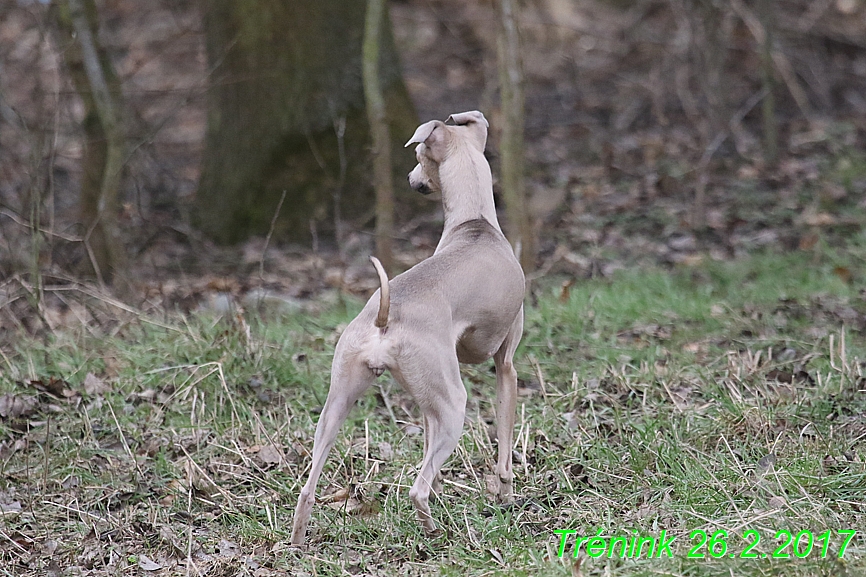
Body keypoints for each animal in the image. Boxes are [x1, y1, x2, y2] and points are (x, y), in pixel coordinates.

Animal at [290, 110, 524, 544]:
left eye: (418, 156)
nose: (411, 179)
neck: (475, 224)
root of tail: (385, 318)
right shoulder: (505, 366)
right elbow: (503, 447)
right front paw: (505, 495)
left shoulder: (427, 407)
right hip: (454, 404)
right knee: (417, 490)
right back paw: (435, 532)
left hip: (338, 403)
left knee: (308, 487)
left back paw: (297, 543)